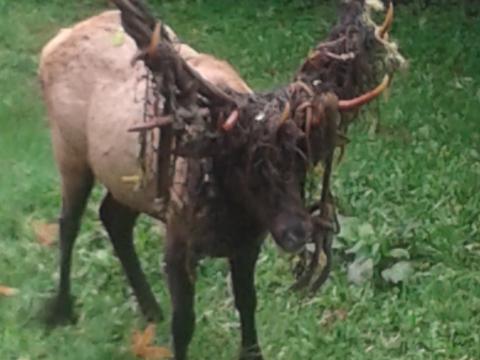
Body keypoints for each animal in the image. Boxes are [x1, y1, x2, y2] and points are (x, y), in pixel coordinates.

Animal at [39, 0, 404, 358]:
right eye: (249, 167)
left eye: (302, 163)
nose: (297, 232)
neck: (234, 213)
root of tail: (53, 43)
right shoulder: (178, 240)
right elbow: (184, 323)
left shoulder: (248, 243)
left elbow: (247, 303)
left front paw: (252, 351)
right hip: (69, 151)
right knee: (68, 223)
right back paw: (61, 309)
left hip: (131, 182)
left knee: (112, 217)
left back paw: (150, 307)